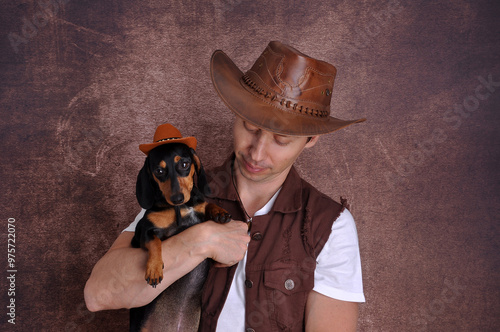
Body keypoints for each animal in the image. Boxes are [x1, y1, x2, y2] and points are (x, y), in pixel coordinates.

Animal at [129, 123, 230, 330]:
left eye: (184, 164)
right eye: (158, 171)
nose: (177, 198)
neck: (181, 208)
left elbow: (207, 205)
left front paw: (219, 211)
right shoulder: (144, 231)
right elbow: (155, 242)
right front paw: (154, 268)